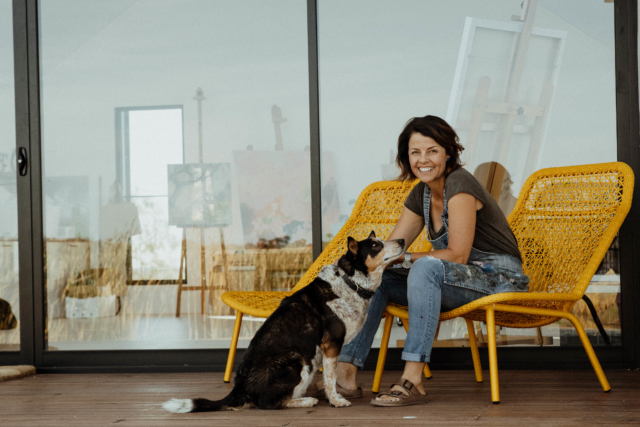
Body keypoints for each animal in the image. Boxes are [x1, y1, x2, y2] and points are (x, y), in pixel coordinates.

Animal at [164, 232, 404, 412]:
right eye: (376, 245)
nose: (402, 241)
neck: (350, 281)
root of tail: (240, 388)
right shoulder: (331, 344)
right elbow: (330, 379)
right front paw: (336, 400)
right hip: (298, 360)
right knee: (269, 403)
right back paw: (306, 400)